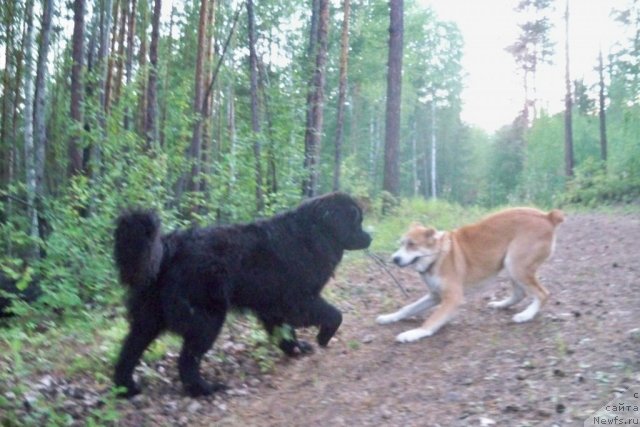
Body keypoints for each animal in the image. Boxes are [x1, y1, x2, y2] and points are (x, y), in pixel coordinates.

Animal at [114, 191, 370, 398]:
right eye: (357, 220)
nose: (370, 237)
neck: (316, 233)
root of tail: (170, 247)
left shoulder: (272, 306)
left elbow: (285, 331)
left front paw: (296, 349)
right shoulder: (299, 300)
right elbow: (334, 314)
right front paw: (323, 337)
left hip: (149, 318)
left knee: (129, 351)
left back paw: (126, 388)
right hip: (207, 319)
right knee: (187, 359)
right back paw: (204, 388)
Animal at [378, 208, 564, 344]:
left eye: (412, 245)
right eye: (401, 244)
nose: (394, 259)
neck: (438, 256)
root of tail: (547, 216)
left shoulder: (452, 298)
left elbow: (431, 321)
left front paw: (413, 333)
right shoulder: (435, 296)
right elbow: (408, 308)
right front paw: (389, 317)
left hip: (516, 266)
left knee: (542, 294)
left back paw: (526, 315)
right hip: (512, 266)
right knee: (520, 293)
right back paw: (501, 305)